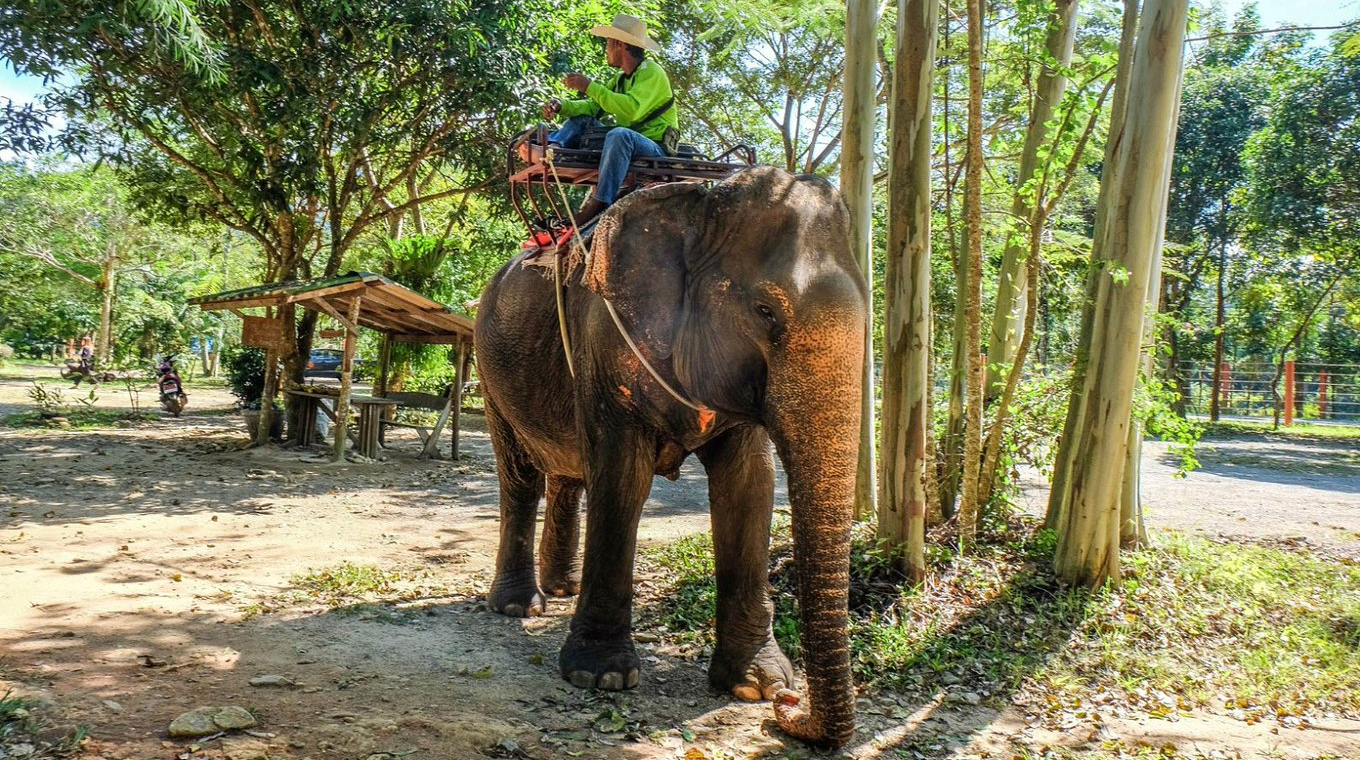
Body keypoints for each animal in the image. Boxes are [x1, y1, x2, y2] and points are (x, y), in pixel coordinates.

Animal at [473, 167, 864, 750]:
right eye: (765, 311)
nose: (791, 710)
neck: (698, 207)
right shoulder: (604, 338)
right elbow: (622, 476)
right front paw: (600, 677)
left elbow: (749, 484)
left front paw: (757, 685)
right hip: (487, 365)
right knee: (522, 476)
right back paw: (520, 606)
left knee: (567, 474)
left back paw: (563, 588)